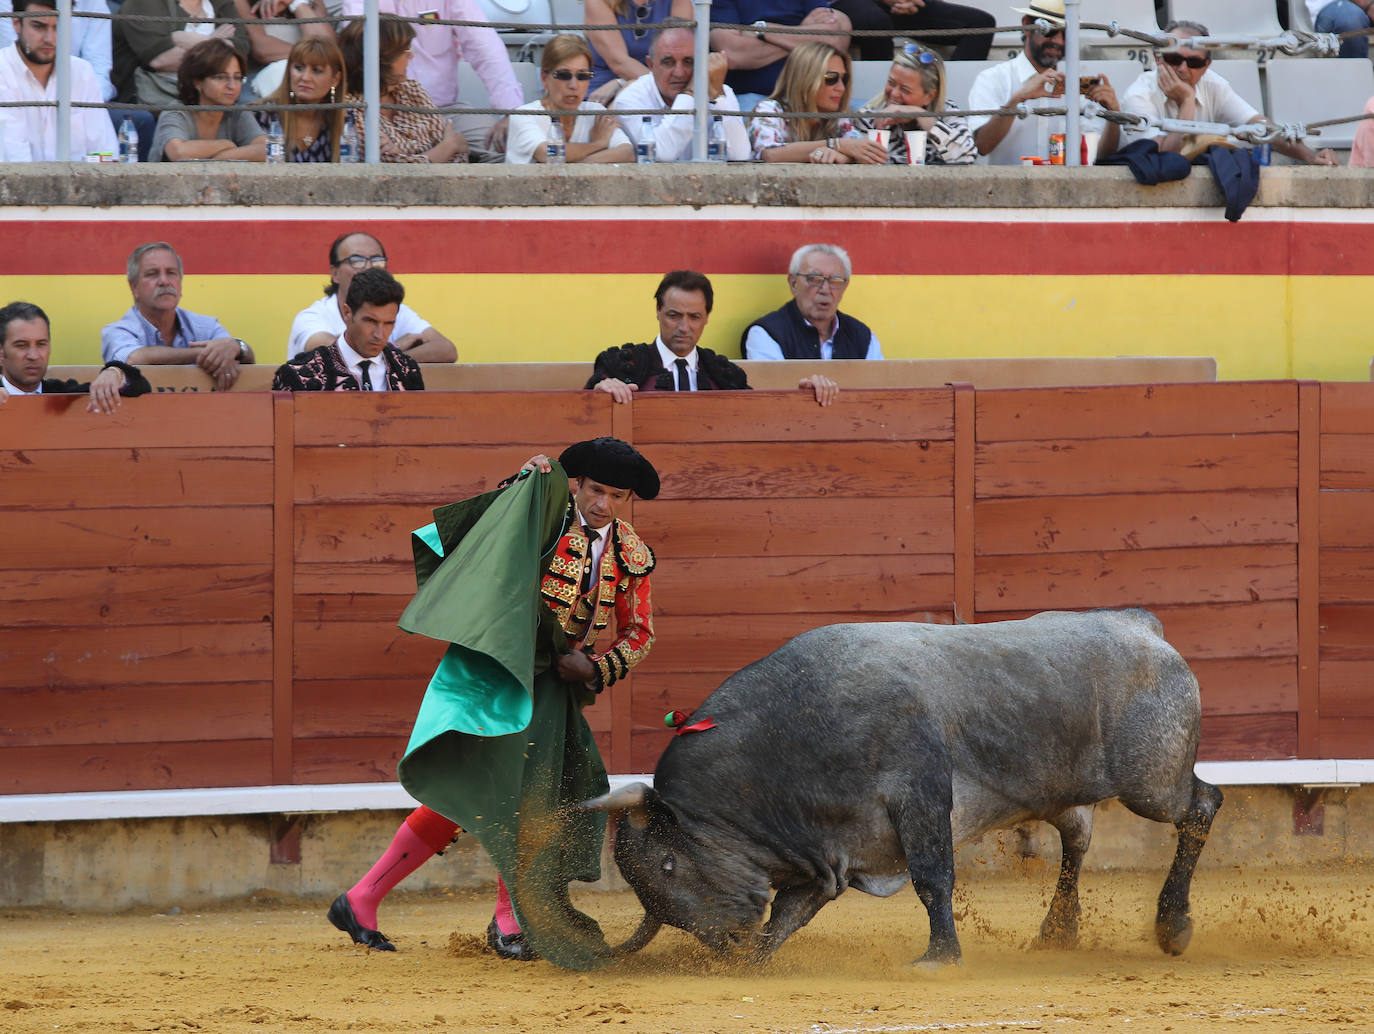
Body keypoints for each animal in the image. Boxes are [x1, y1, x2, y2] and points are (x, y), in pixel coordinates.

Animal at [585, 609, 1231, 966]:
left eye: (668, 865)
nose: (726, 947)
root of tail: (1138, 623)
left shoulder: (918, 797)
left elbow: (931, 877)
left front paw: (940, 958)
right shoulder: (827, 854)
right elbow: (789, 914)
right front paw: (756, 961)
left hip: (1150, 781)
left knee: (1202, 805)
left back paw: (1173, 924)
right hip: (1064, 790)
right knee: (1077, 839)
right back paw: (1056, 933)